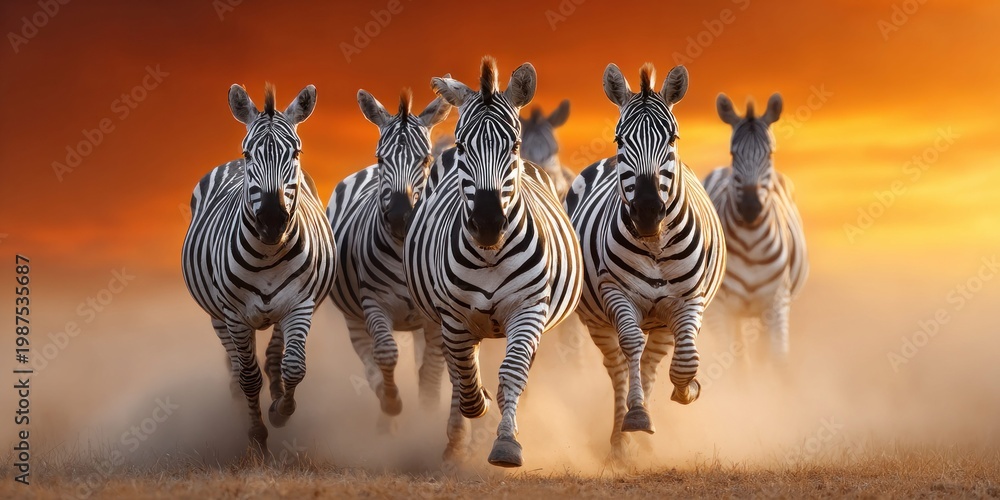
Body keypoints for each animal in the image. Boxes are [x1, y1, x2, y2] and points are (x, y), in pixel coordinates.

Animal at [182, 83, 336, 455]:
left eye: (296, 153)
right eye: (249, 154)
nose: (271, 220)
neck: (267, 252)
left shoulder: (300, 305)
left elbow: (293, 367)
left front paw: (281, 411)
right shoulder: (234, 314)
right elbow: (248, 377)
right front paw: (257, 437)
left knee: (273, 357)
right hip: (218, 316)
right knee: (240, 367)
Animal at [326, 87, 451, 432]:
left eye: (426, 159)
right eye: (381, 158)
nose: (399, 218)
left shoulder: (435, 315)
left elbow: (431, 369)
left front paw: (427, 415)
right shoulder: (373, 304)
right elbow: (385, 354)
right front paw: (392, 404)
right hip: (353, 315)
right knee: (368, 359)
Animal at [404, 57, 583, 468]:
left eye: (512, 145)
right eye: (462, 145)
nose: (487, 224)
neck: (490, 255)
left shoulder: (529, 309)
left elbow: (512, 373)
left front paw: (506, 441)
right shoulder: (453, 318)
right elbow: (465, 379)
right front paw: (473, 419)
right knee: (451, 370)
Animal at [564, 63, 726, 462]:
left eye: (673, 138)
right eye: (620, 140)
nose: (649, 212)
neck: (655, 244)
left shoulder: (690, 298)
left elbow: (686, 358)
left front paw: (687, 389)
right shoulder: (615, 292)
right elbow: (631, 347)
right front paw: (636, 416)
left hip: (663, 320)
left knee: (652, 363)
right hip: (596, 320)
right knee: (620, 367)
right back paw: (622, 436)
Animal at [702, 93, 808, 366]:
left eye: (770, 153)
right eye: (732, 153)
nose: (750, 208)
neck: (751, 244)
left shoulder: (777, 304)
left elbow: (777, 360)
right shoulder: (720, 309)